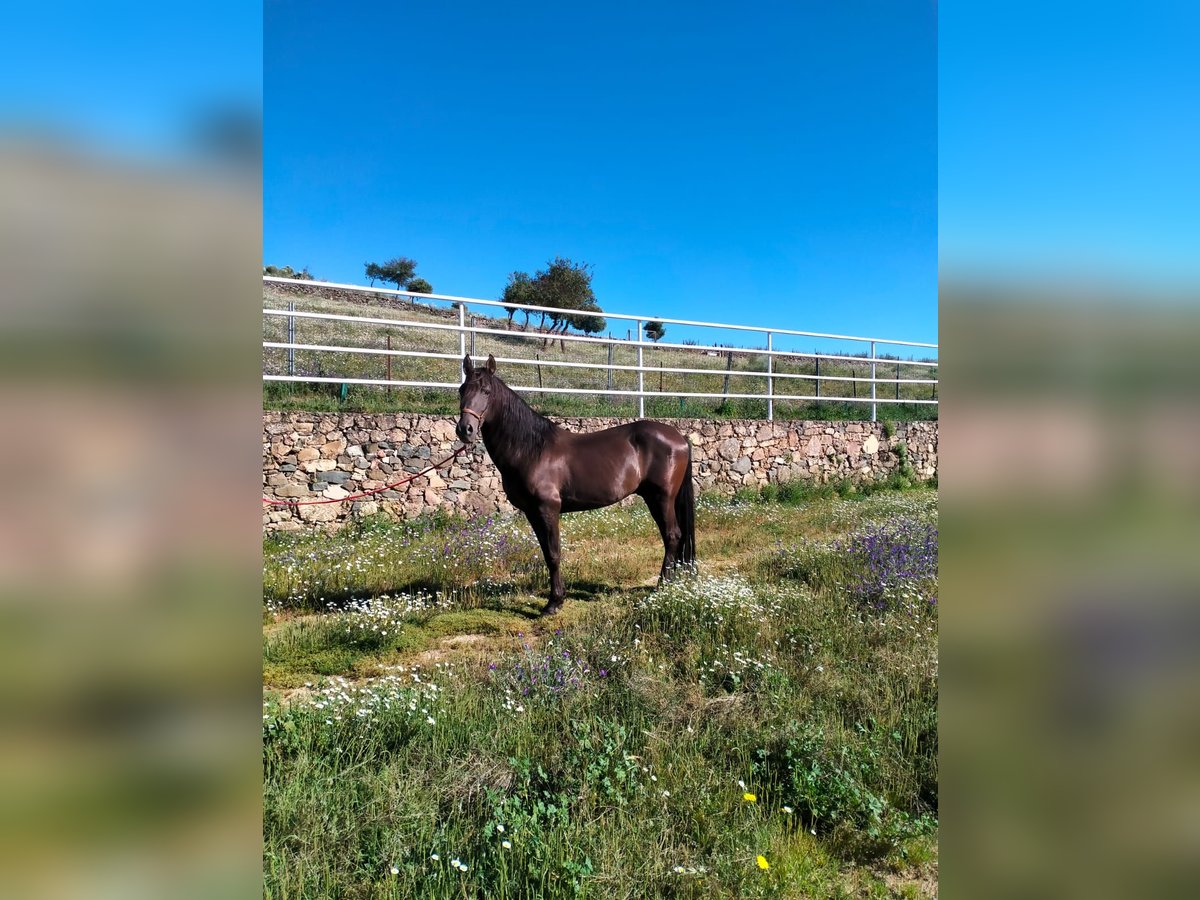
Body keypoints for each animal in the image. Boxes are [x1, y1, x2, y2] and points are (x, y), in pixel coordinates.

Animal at [453, 352, 696, 614]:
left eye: (486, 391)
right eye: (461, 389)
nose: (465, 430)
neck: (532, 450)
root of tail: (680, 438)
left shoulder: (548, 509)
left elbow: (553, 554)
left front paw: (554, 602)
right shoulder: (532, 513)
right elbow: (546, 553)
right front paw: (556, 598)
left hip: (662, 498)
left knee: (672, 535)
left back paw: (662, 586)